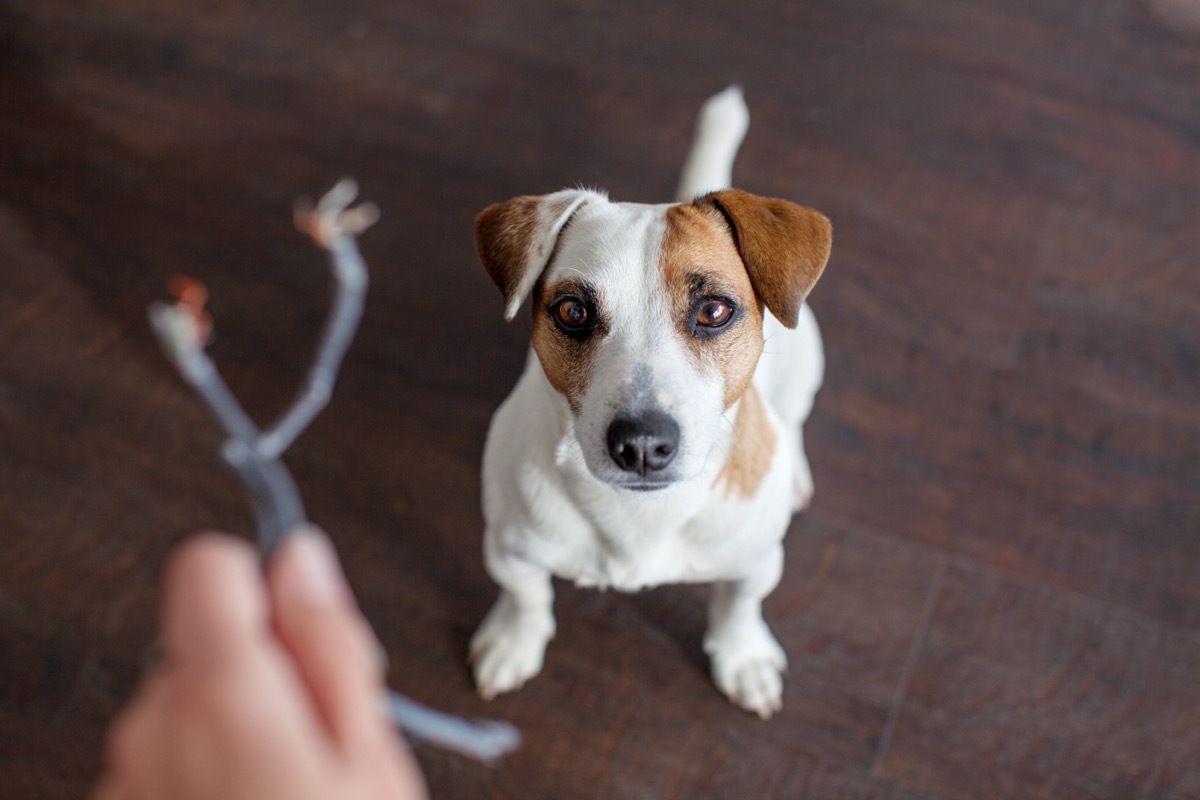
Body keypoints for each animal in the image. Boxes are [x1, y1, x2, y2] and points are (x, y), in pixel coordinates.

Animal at [470, 89, 835, 719]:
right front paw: (514, 641)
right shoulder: (510, 548)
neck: (640, 514)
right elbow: (525, 596)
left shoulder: (755, 563)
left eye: (714, 310)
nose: (641, 444)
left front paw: (742, 656)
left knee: (793, 418)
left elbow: (739, 606)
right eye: (572, 311)